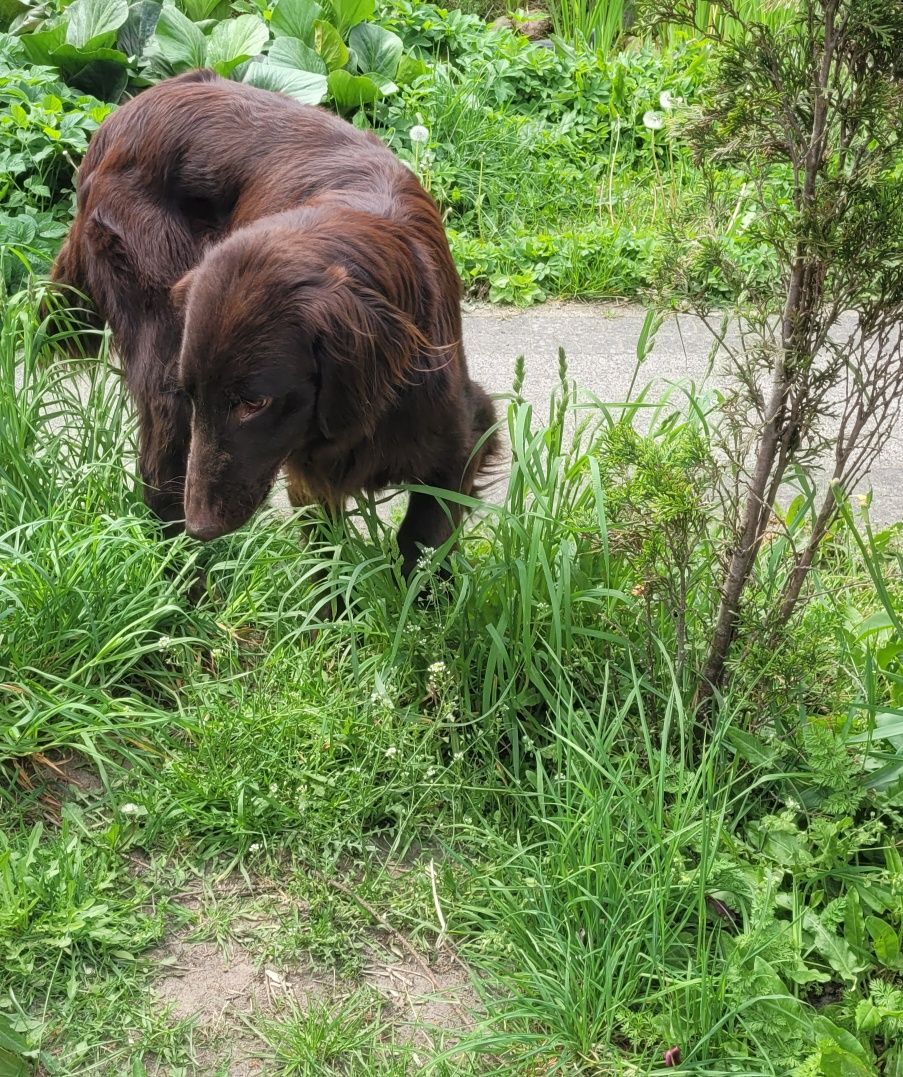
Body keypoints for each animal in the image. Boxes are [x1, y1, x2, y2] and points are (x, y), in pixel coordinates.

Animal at [52, 71, 497, 577]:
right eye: (197, 393)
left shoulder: (465, 435)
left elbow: (423, 542)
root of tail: (119, 117)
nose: (202, 527)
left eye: (255, 403)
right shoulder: (306, 469)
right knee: (160, 490)